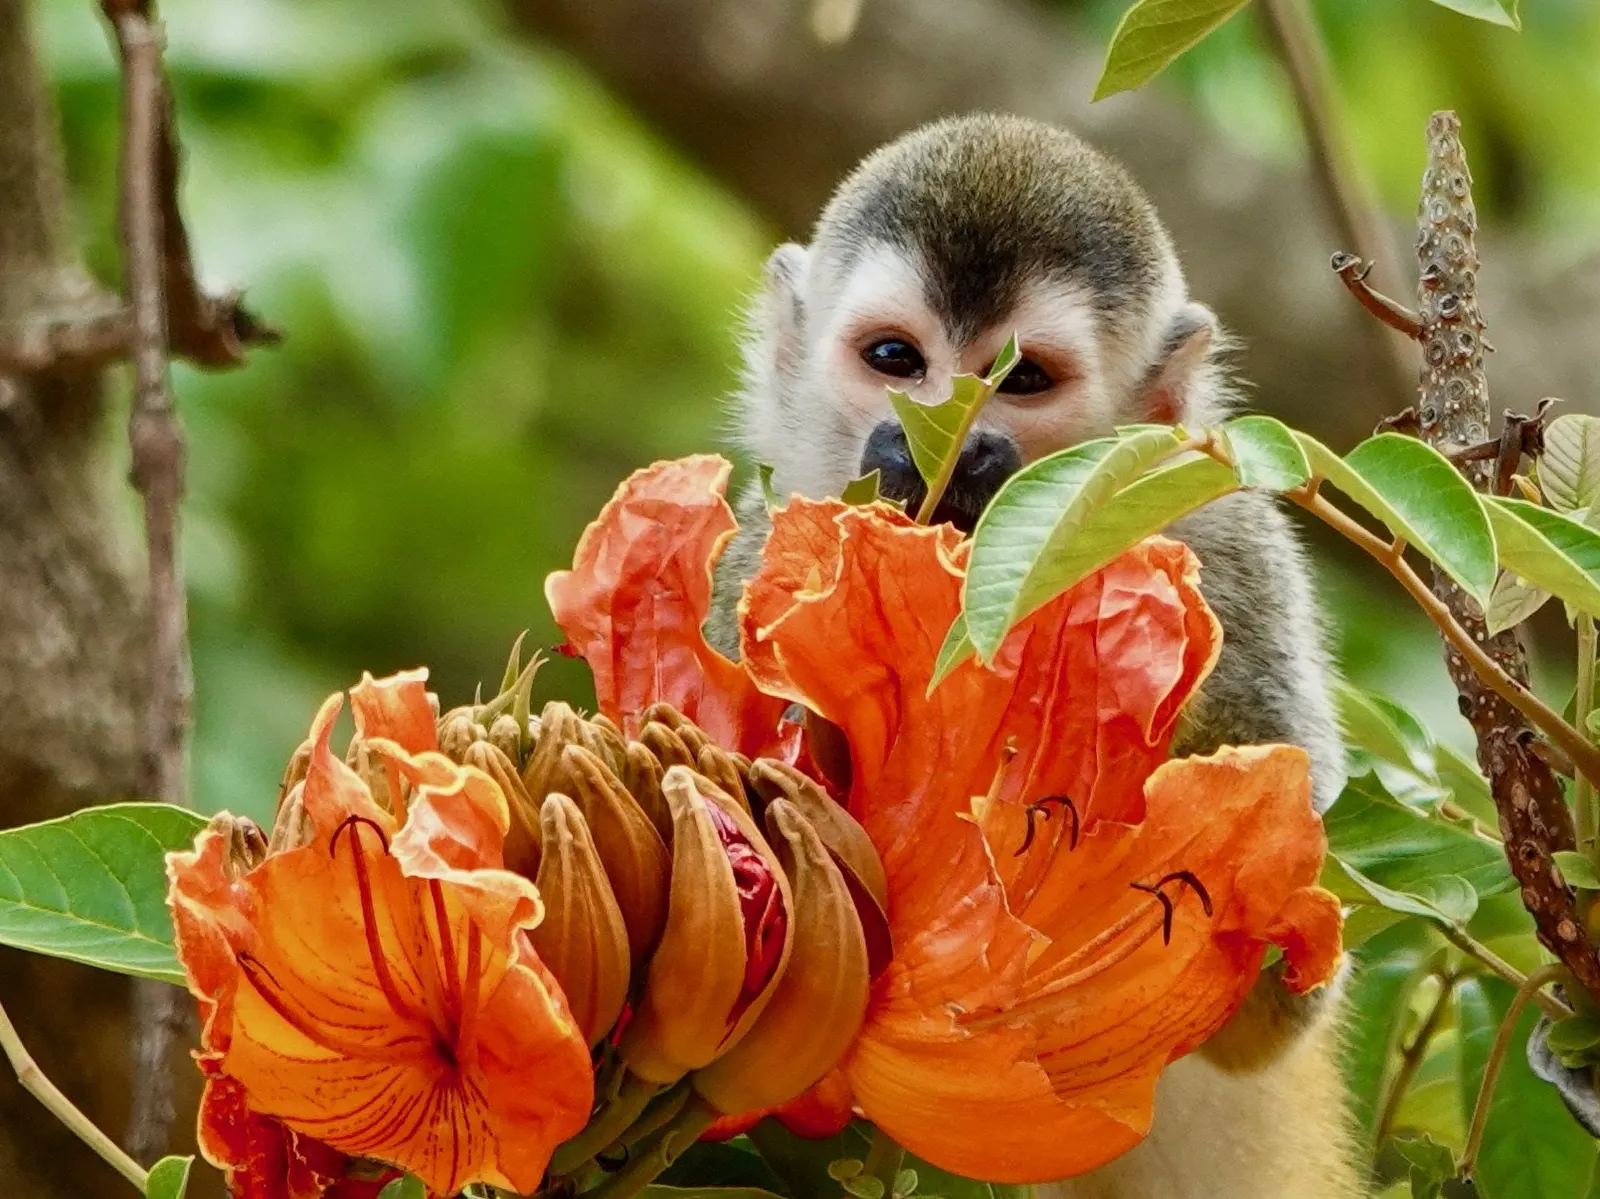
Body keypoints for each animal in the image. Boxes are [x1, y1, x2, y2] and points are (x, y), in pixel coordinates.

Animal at [703, 113, 1360, 1199]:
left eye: (1020, 380)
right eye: (897, 358)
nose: (946, 450)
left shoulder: (1225, 533)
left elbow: (1271, 1010)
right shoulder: (758, 553)